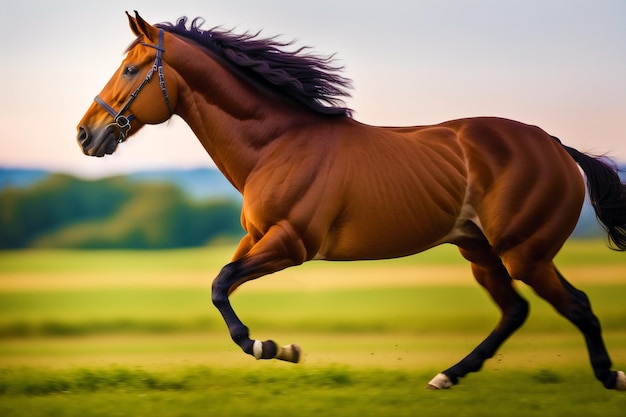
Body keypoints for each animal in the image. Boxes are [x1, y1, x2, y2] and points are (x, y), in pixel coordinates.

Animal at [77, 13, 624, 390]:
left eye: (130, 70)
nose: (86, 134)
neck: (277, 145)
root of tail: (555, 145)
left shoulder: (291, 244)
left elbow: (220, 284)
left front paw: (270, 345)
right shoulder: (256, 238)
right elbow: (220, 287)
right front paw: (282, 348)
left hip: (524, 252)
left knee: (577, 305)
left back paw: (610, 377)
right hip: (480, 251)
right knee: (515, 311)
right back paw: (448, 375)